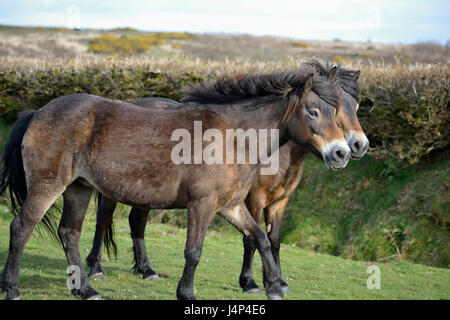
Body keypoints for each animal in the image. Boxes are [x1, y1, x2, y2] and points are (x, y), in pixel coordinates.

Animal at [0, 65, 348, 300]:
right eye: (314, 112)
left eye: (336, 112)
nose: (342, 152)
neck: (233, 138)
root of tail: (37, 113)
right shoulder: (202, 205)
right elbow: (194, 251)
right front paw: (187, 292)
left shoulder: (232, 206)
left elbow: (260, 237)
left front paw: (273, 286)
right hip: (48, 187)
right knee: (21, 228)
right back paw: (12, 288)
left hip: (79, 189)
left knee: (69, 233)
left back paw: (86, 289)